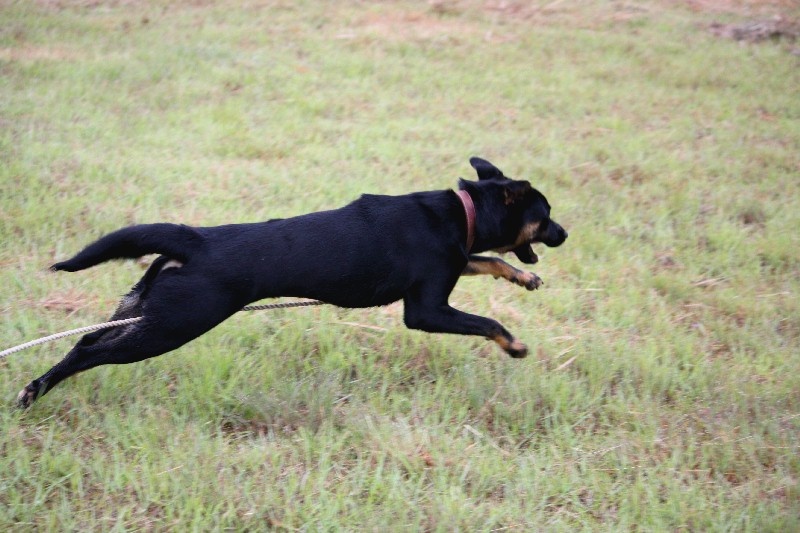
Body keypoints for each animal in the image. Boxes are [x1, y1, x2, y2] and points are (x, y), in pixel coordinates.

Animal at [15, 156, 564, 406]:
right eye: (545, 215)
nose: (565, 232)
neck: (463, 213)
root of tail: (196, 240)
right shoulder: (426, 310)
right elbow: (486, 321)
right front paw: (514, 345)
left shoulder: (452, 266)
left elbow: (487, 260)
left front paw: (523, 276)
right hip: (172, 325)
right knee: (89, 353)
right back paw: (35, 393)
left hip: (142, 311)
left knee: (85, 341)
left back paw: (36, 388)